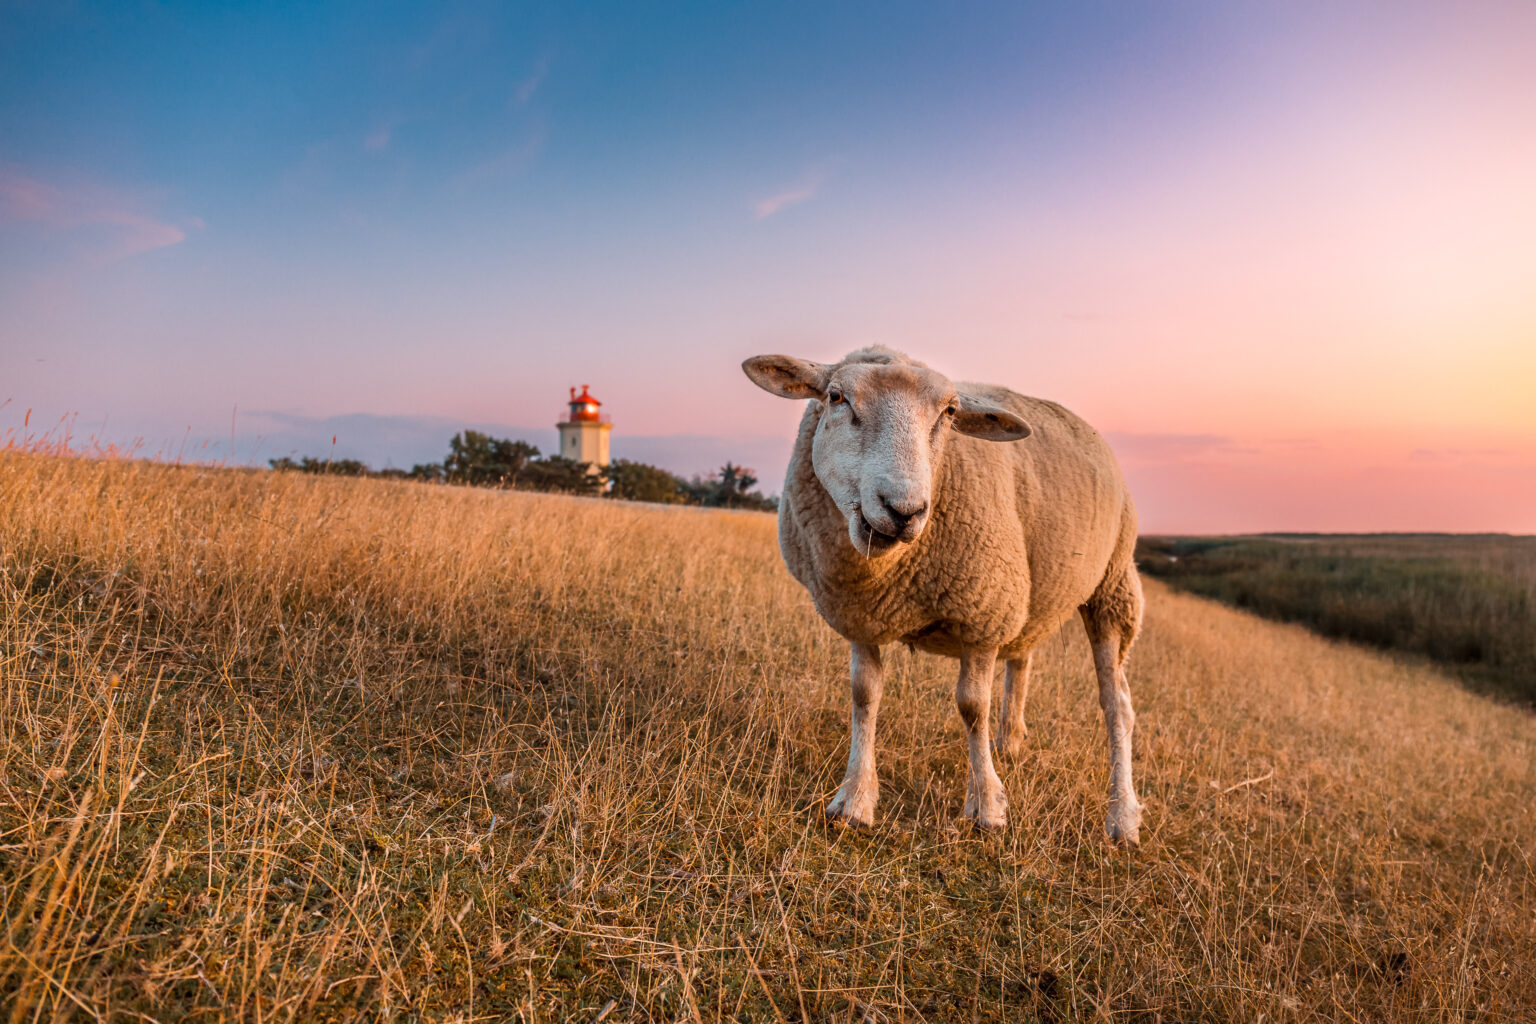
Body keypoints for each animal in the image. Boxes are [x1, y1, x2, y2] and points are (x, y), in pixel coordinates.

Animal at [742, 346, 1145, 843]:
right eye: (836, 397)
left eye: (950, 413)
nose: (904, 510)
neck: (886, 574)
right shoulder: (862, 616)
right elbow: (864, 696)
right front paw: (854, 799)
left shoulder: (983, 614)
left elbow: (973, 707)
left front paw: (987, 806)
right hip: (1033, 594)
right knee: (1022, 660)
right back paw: (1010, 742)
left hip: (1113, 587)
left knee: (1117, 706)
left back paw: (1122, 816)